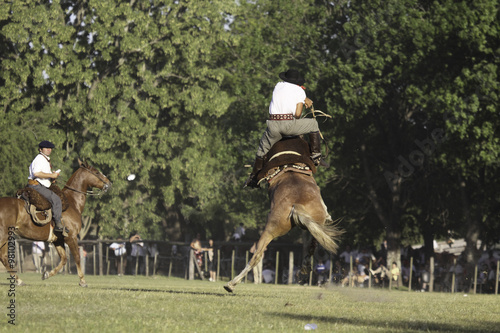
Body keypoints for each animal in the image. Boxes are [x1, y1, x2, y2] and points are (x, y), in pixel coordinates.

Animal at [0, 158, 111, 286]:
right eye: (97, 172)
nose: (109, 183)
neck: (72, 203)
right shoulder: (71, 237)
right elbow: (77, 257)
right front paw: (82, 281)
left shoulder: (58, 240)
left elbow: (64, 259)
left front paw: (47, 274)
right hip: (4, 235)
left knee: (3, 257)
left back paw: (19, 280)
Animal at [225, 136, 342, 292]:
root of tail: (296, 206)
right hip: (307, 223)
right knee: (312, 243)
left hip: (271, 229)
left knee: (257, 255)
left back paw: (231, 284)